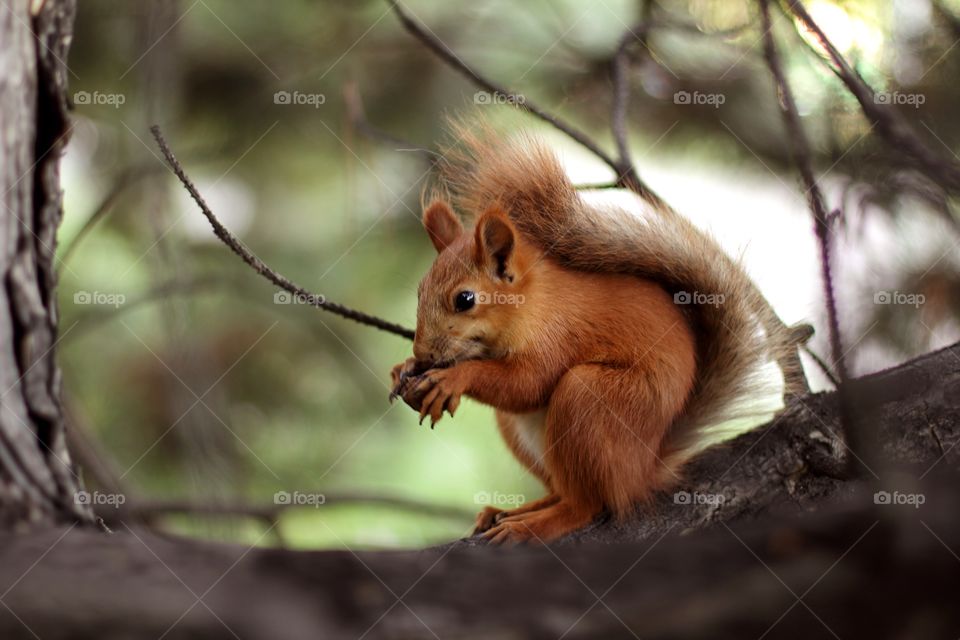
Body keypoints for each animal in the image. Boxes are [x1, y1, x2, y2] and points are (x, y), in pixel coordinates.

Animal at [390, 124, 799, 545]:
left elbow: (529, 384)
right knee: (561, 489)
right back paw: (514, 509)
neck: (534, 303)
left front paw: (454, 377)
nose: (424, 354)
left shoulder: (558, 334)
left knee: (585, 504)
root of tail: (644, 470)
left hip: (591, 399)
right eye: (420, 290)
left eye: (465, 299)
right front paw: (403, 369)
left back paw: (534, 524)